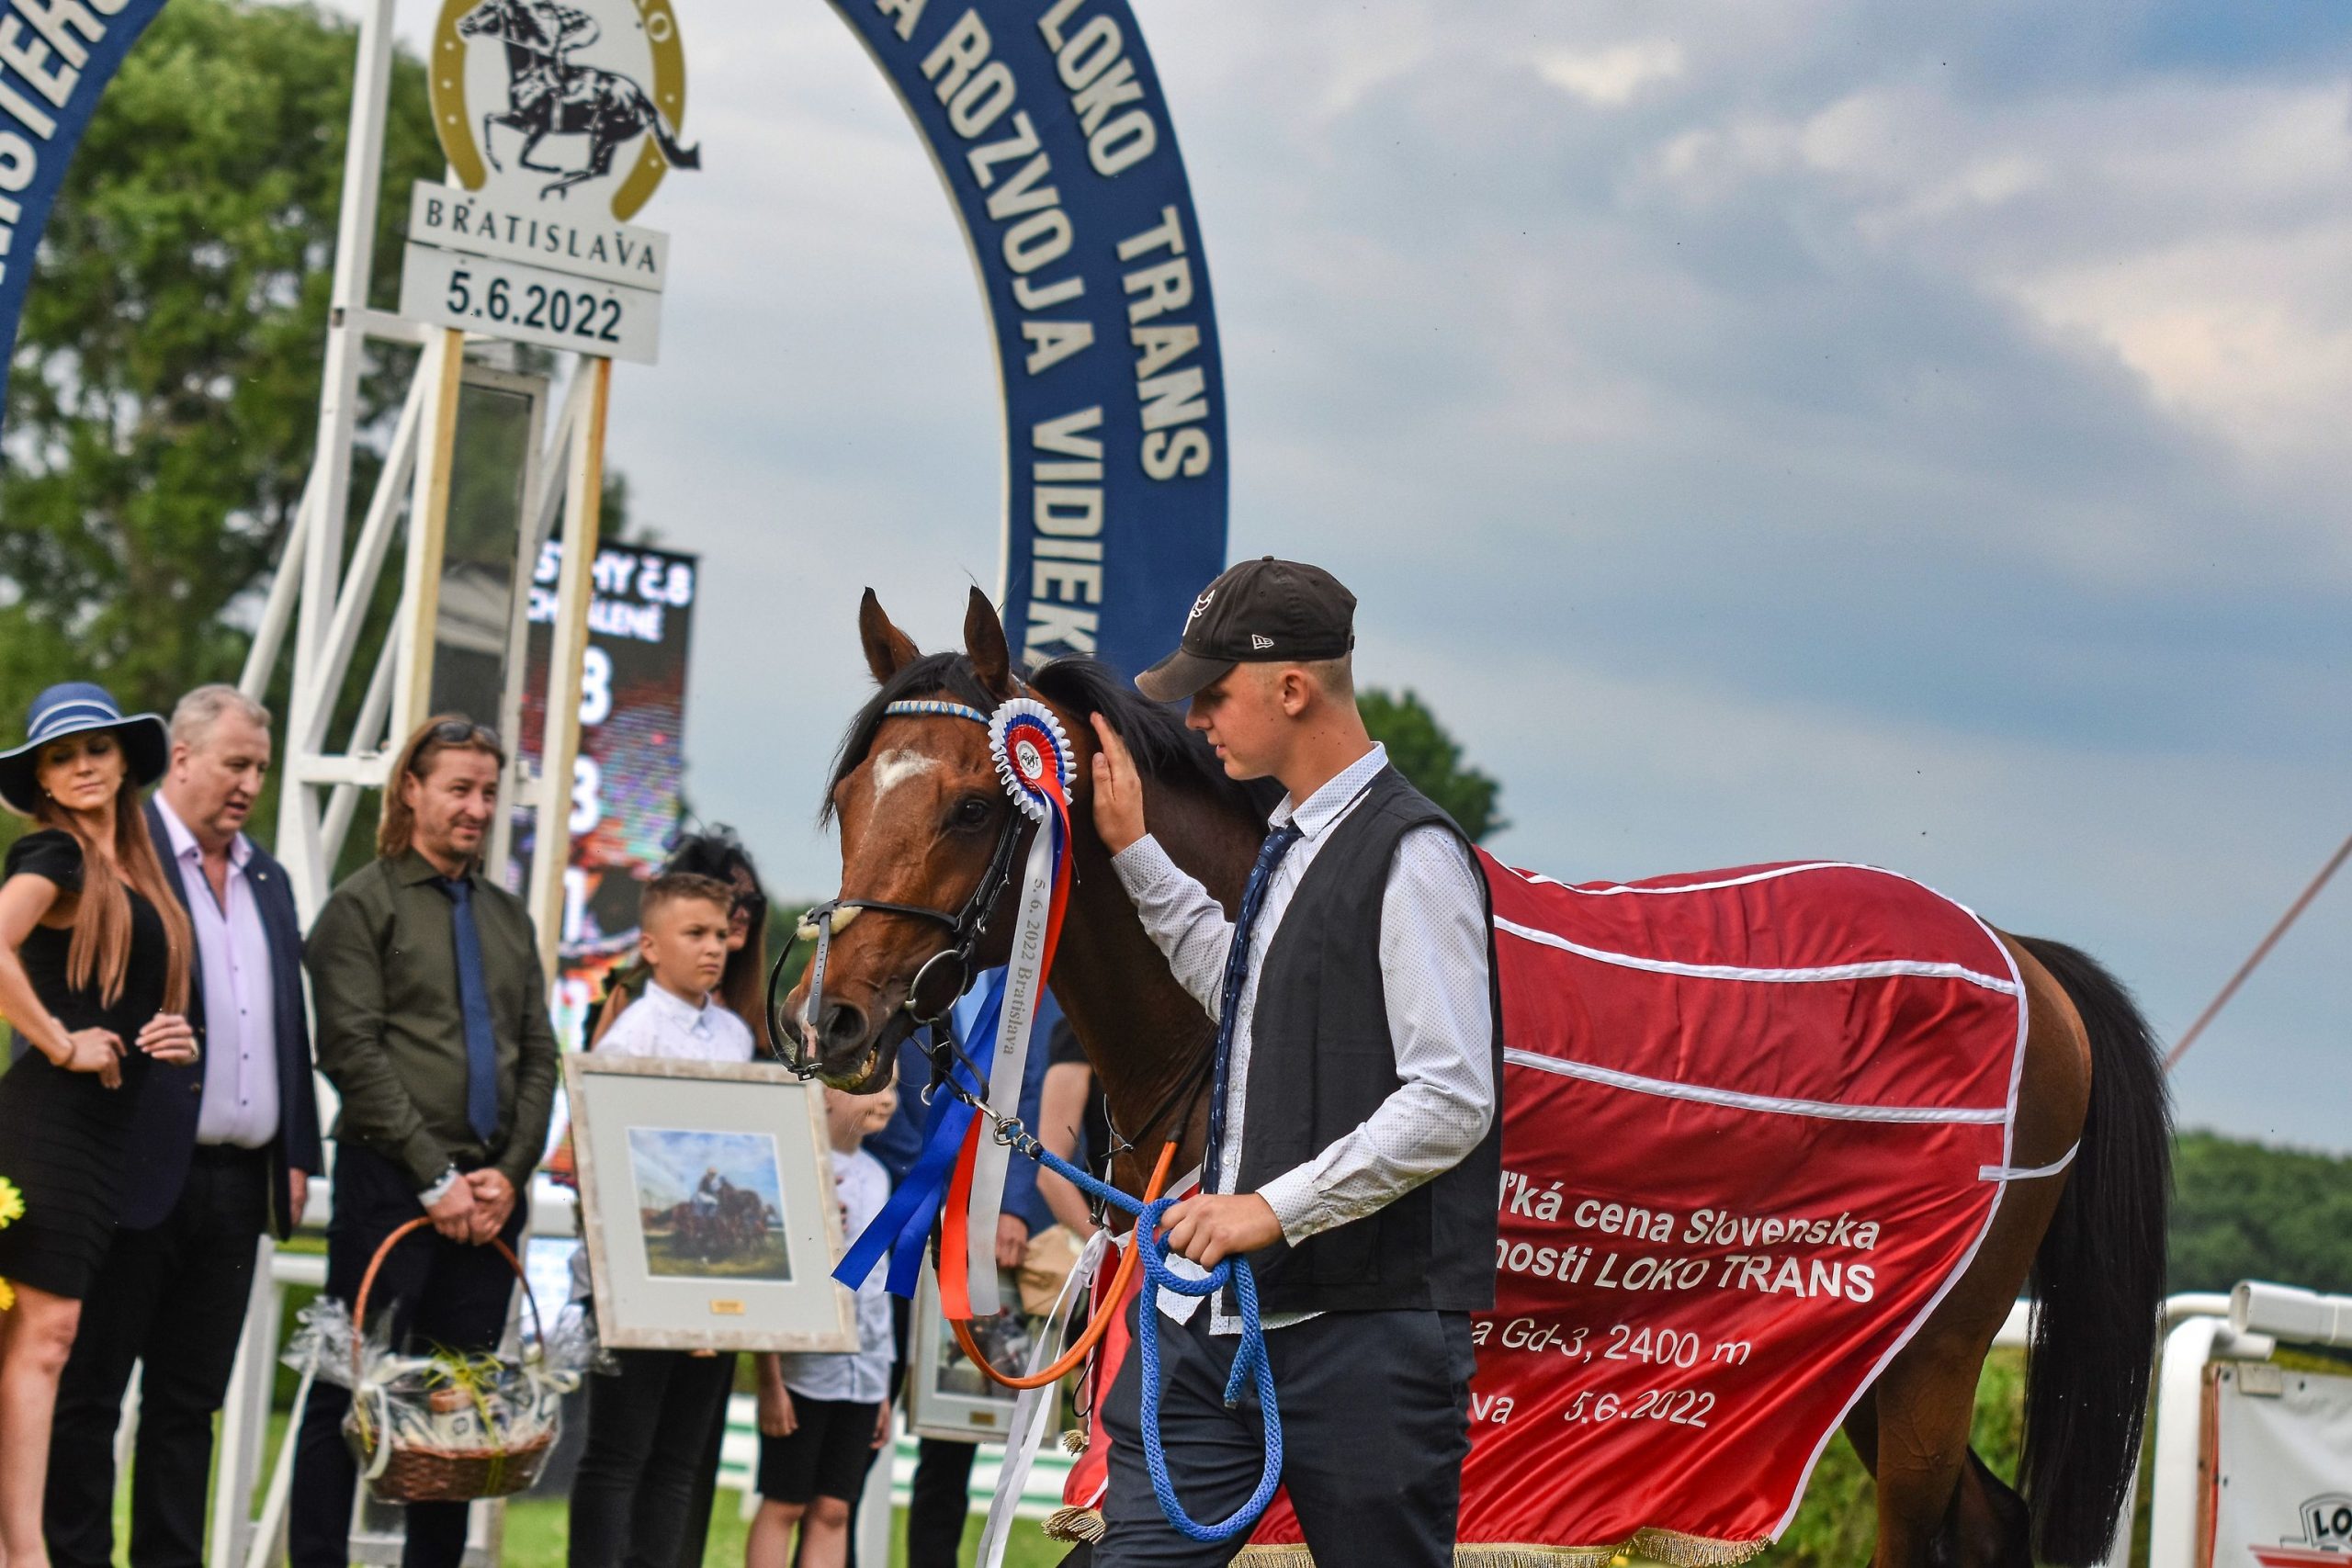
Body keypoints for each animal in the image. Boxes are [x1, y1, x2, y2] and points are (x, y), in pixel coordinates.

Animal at [790, 585, 2164, 1568]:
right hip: (1861, 1366)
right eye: (851, 791)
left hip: (1934, 1355)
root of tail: (2022, 962)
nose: (829, 1016)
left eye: (975, 805)